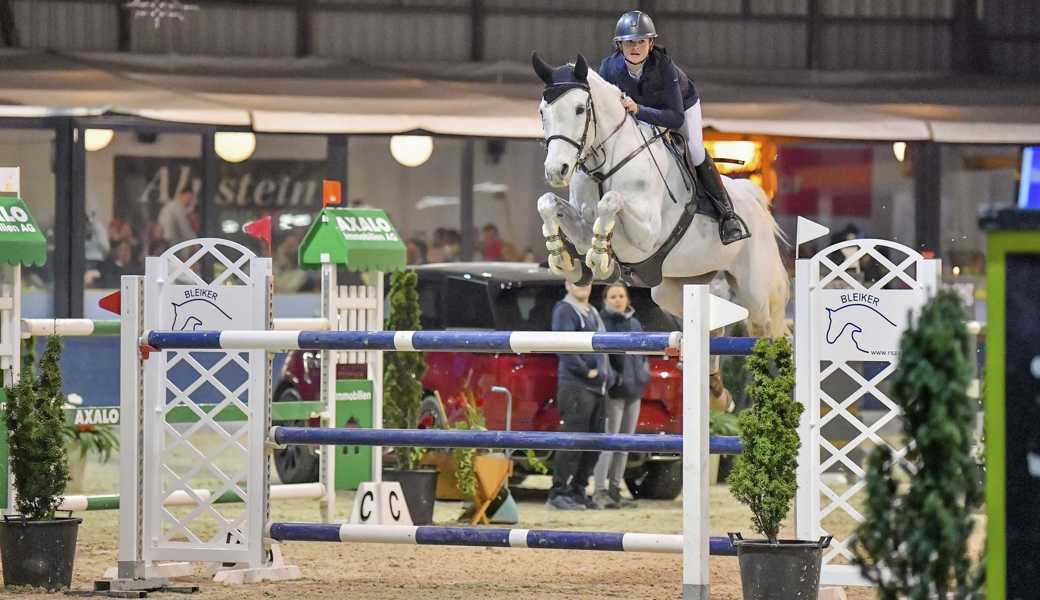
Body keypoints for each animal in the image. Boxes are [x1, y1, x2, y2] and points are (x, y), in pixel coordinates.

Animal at [536, 53, 786, 338]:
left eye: (580, 109)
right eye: (542, 112)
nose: (556, 170)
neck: (603, 164)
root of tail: (754, 201)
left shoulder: (646, 237)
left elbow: (611, 201)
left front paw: (601, 258)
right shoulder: (581, 227)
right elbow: (547, 203)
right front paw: (563, 258)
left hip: (755, 291)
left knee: (769, 329)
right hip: (676, 285)